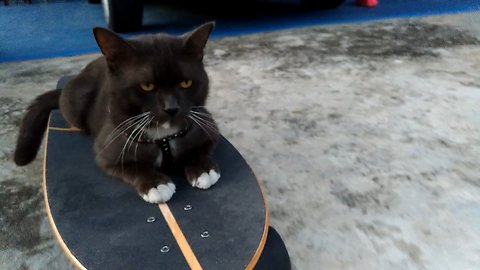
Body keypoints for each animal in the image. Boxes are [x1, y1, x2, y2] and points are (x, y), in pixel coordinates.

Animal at [14, 21, 221, 202]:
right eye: (147, 86)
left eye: (186, 83)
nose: (171, 108)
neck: (164, 136)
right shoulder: (108, 149)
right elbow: (132, 166)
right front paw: (156, 184)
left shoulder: (206, 126)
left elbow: (202, 149)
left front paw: (204, 169)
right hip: (74, 104)